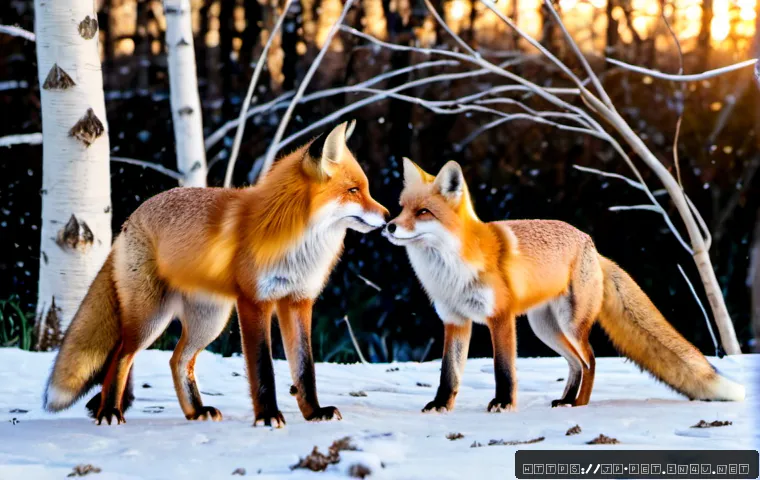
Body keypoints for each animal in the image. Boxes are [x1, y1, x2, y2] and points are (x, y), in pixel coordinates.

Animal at [44, 121, 389, 426]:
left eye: (365, 189)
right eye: (353, 190)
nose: (388, 217)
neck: (297, 243)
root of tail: (130, 219)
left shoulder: (298, 301)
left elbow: (305, 369)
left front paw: (314, 413)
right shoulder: (254, 302)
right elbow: (262, 368)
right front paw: (267, 416)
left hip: (209, 321)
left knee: (177, 360)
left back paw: (195, 411)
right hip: (150, 319)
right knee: (120, 356)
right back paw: (110, 412)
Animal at [382, 158, 745, 413]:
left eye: (424, 212)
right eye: (401, 208)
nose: (388, 226)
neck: (451, 269)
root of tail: (592, 245)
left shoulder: (500, 317)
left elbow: (504, 369)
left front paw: (503, 403)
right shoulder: (454, 320)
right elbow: (450, 372)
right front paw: (441, 405)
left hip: (570, 325)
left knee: (591, 360)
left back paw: (580, 405)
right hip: (546, 329)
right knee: (575, 364)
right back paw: (565, 399)